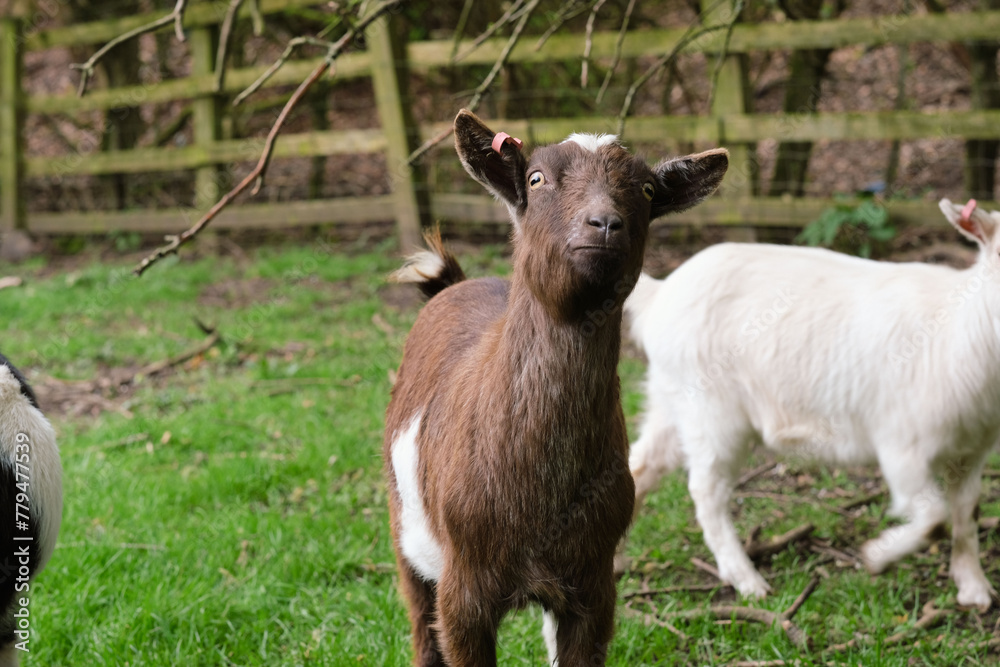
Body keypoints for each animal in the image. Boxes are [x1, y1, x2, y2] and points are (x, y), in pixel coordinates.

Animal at [383, 109, 728, 665]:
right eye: (536, 179)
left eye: (648, 190)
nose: (604, 223)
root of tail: (453, 284)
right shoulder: (463, 590)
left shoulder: (594, 584)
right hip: (404, 532)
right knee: (420, 623)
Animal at [624, 198, 1000, 611]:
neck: (961, 335)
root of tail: (659, 294)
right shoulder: (902, 446)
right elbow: (935, 518)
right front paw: (877, 556)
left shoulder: (973, 450)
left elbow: (966, 512)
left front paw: (974, 587)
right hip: (712, 411)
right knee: (707, 491)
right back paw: (747, 580)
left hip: (672, 396)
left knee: (643, 463)